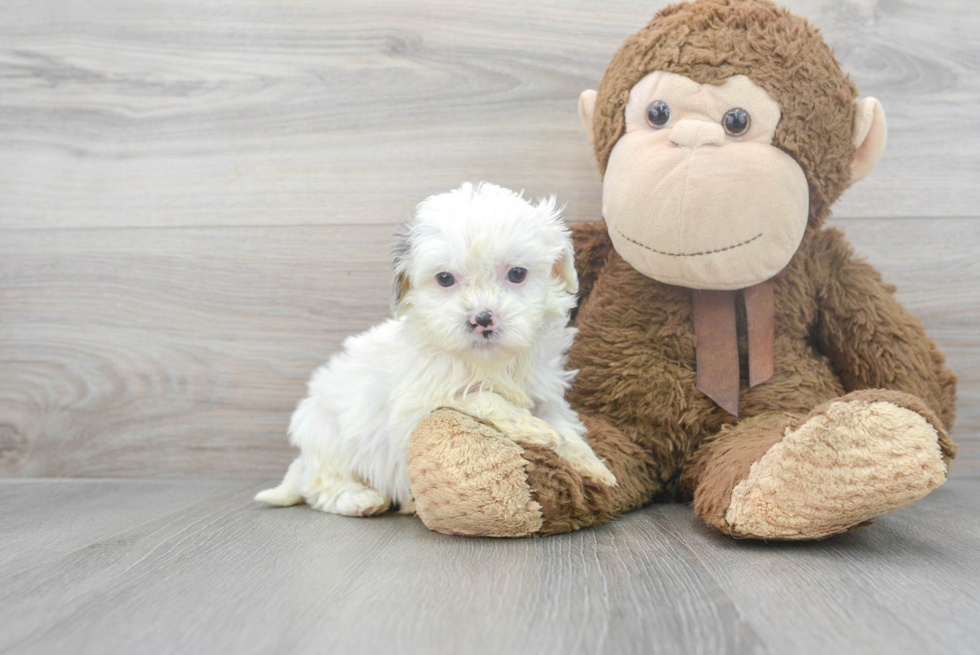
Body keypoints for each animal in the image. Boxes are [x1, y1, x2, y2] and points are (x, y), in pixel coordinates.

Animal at [255, 181, 612, 516]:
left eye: (517, 273)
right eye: (444, 279)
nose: (482, 319)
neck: (487, 361)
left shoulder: (544, 391)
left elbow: (562, 424)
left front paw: (590, 464)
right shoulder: (419, 405)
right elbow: (480, 397)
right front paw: (531, 427)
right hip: (326, 438)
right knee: (322, 486)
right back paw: (361, 499)